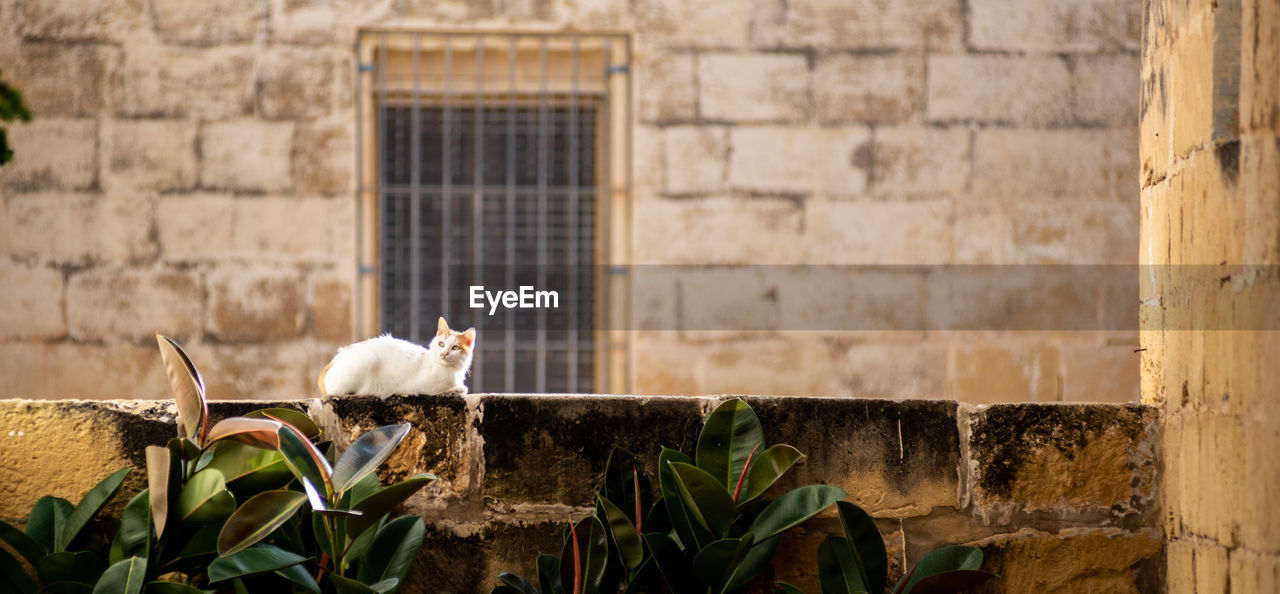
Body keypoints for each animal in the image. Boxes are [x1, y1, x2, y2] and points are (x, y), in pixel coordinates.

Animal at [317, 314, 478, 399]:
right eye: (441, 344)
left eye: (455, 348)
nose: (443, 353)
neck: (451, 371)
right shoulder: (421, 387)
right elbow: (454, 389)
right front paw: (457, 389)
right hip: (366, 359)